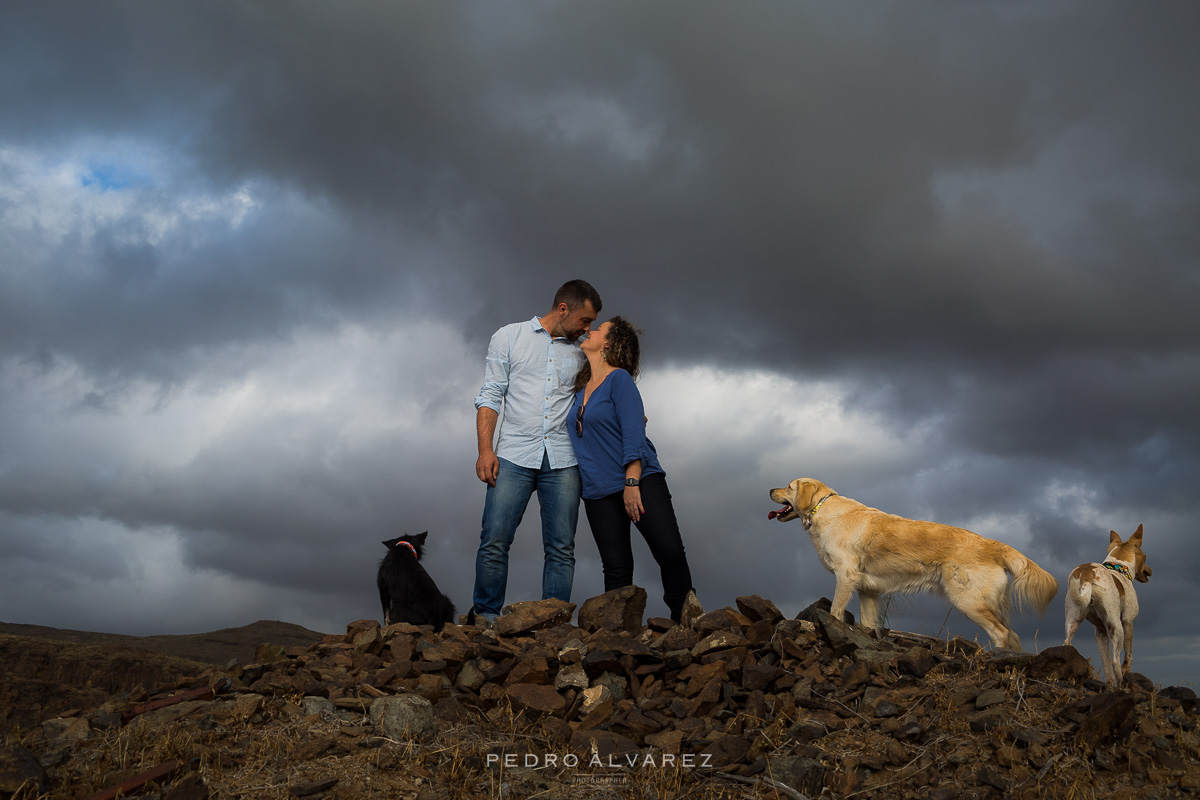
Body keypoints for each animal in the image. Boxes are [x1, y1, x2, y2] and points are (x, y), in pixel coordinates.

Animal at [1065, 525, 1147, 690]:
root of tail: (1087, 574)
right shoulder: (1128, 621)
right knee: (1116, 660)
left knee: (1067, 644)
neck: (1118, 567)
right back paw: (1122, 685)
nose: (1149, 571)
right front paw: (1125, 673)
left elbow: (1106, 662)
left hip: (1073, 620)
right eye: (1145, 556)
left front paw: (1109, 684)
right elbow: (1128, 656)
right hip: (1116, 627)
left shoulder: (1100, 633)